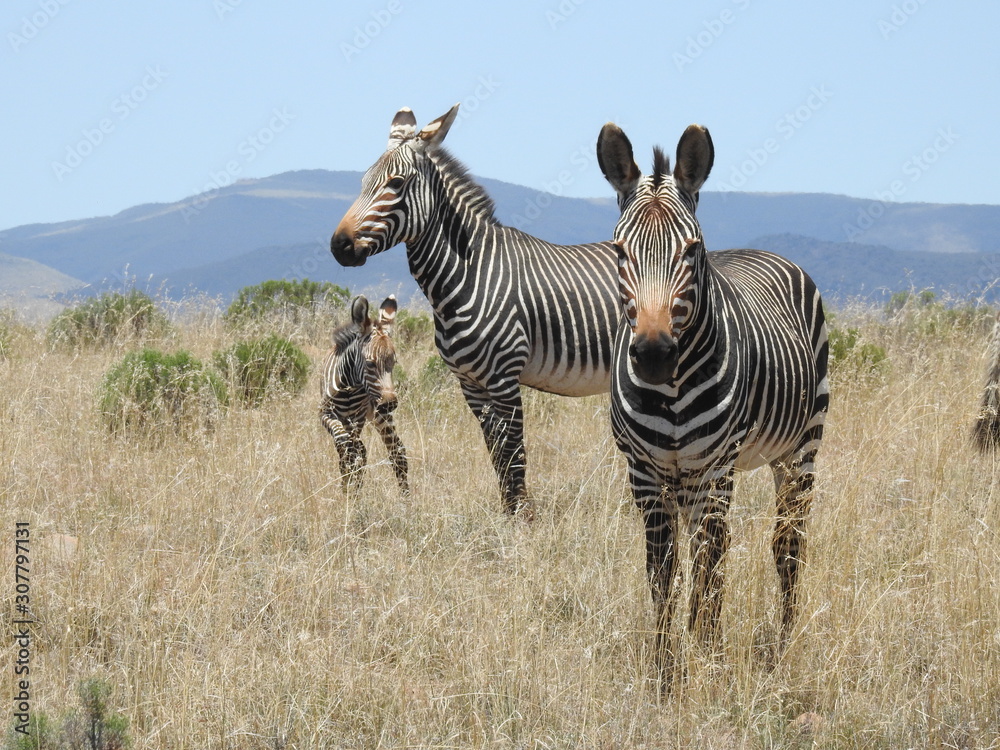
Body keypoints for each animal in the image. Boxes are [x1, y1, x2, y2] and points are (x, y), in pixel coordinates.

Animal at [319, 294, 408, 497]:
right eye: (370, 364)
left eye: (394, 362)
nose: (390, 404)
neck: (348, 386)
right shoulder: (325, 414)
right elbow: (346, 448)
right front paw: (349, 490)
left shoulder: (357, 419)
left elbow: (354, 455)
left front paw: (351, 492)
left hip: (380, 416)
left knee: (397, 453)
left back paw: (406, 499)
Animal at [330, 104, 620, 517]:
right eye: (362, 182)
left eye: (396, 184)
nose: (338, 246)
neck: (466, 276)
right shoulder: (470, 384)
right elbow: (496, 453)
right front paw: (508, 515)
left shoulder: (504, 378)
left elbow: (514, 453)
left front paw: (523, 519)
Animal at [596, 122, 829, 679]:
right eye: (619, 251)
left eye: (691, 249)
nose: (653, 354)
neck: (671, 389)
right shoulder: (644, 472)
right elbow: (663, 572)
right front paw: (666, 671)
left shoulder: (715, 468)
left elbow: (709, 569)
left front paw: (707, 660)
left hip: (801, 445)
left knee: (786, 543)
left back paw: (784, 644)